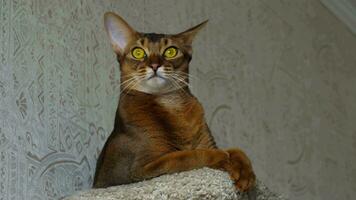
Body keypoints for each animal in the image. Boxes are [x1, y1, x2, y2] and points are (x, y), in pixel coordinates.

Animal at [94, 11, 256, 191]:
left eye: (170, 51)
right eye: (138, 52)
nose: (155, 65)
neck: (171, 103)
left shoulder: (207, 142)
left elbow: (237, 150)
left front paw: (245, 172)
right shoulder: (139, 169)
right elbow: (184, 156)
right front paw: (220, 157)